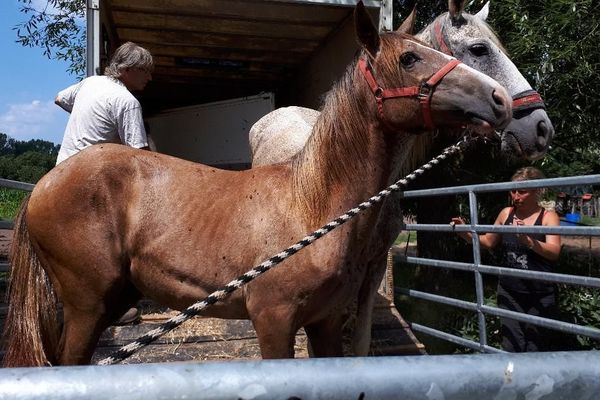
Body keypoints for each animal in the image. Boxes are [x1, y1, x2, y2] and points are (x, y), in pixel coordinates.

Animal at [3, 1, 510, 368]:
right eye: (409, 58)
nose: (501, 100)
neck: (313, 209)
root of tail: (46, 184)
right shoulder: (273, 321)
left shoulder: (325, 323)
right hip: (86, 306)